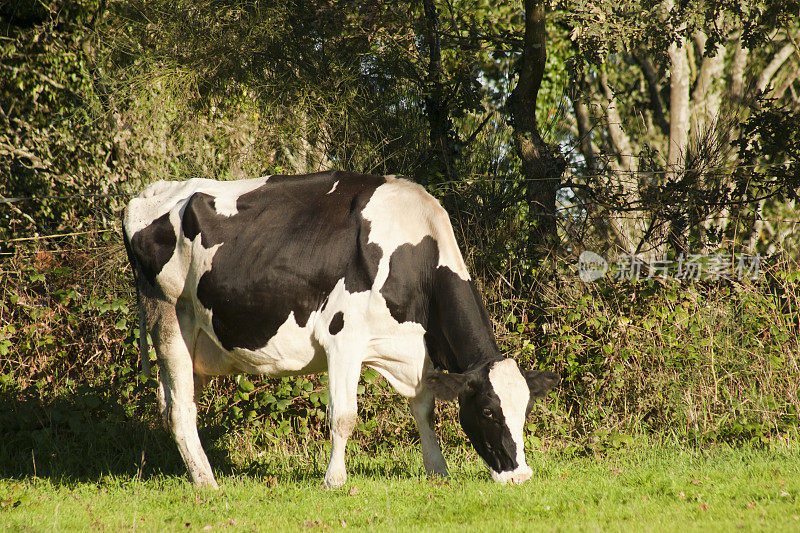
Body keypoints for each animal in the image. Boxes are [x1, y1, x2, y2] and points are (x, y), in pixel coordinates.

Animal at [123, 172, 564, 488]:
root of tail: (154, 191)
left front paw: (437, 471)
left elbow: (424, 409)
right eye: (488, 410)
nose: (521, 476)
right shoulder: (343, 340)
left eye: (526, 409)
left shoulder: (412, 349)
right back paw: (207, 483)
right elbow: (343, 416)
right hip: (168, 317)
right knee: (181, 409)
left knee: (172, 403)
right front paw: (334, 481)